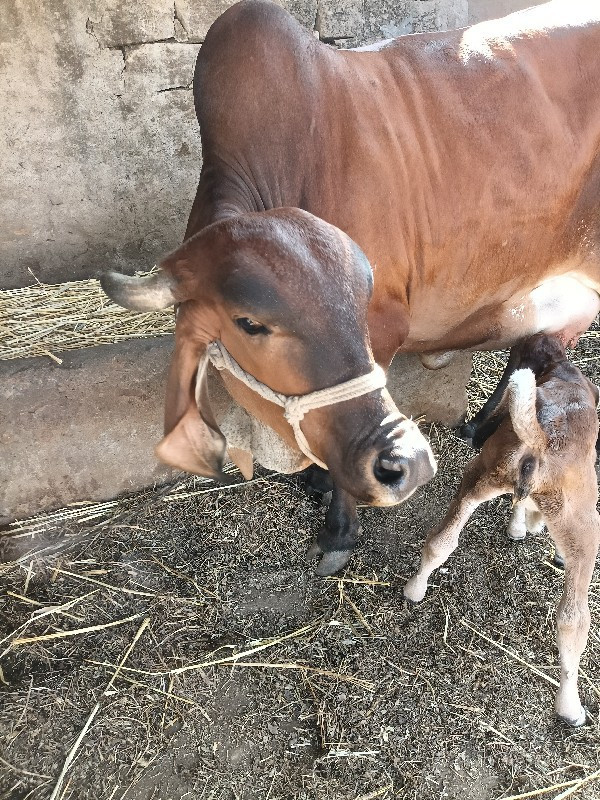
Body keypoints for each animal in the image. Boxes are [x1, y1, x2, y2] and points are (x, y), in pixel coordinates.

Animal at [101, 0, 600, 576]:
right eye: (249, 323)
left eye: (360, 298)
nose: (411, 464)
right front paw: (317, 477)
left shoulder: (384, 328)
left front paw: (339, 529)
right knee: (532, 348)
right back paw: (479, 428)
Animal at [404, 334, 600, 728]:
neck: (562, 370)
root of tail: (542, 442)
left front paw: (522, 527)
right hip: (585, 530)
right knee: (573, 619)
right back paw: (571, 708)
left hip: (481, 477)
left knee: (441, 541)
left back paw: (415, 590)